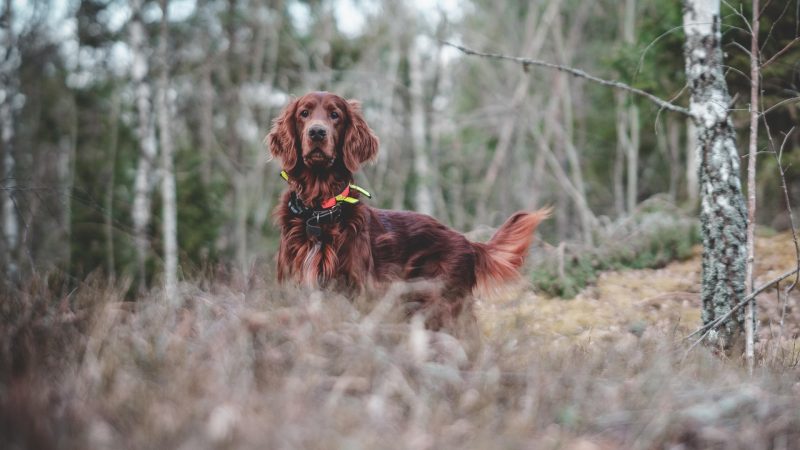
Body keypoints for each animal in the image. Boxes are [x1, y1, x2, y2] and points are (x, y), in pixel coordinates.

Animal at [268, 92, 552, 330]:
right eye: (304, 113)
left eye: (335, 115)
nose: (317, 132)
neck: (318, 211)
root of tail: (468, 243)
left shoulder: (356, 290)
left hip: (446, 307)